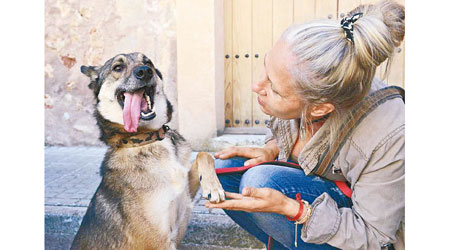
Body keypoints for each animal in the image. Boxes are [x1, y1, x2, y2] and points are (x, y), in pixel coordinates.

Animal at [71, 52, 225, 250]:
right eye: (118, 67)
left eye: (148, 62)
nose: (144, 71)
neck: (147, 139)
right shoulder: (158, 241)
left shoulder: (185, 192)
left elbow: (203, 154)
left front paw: (214, 186)